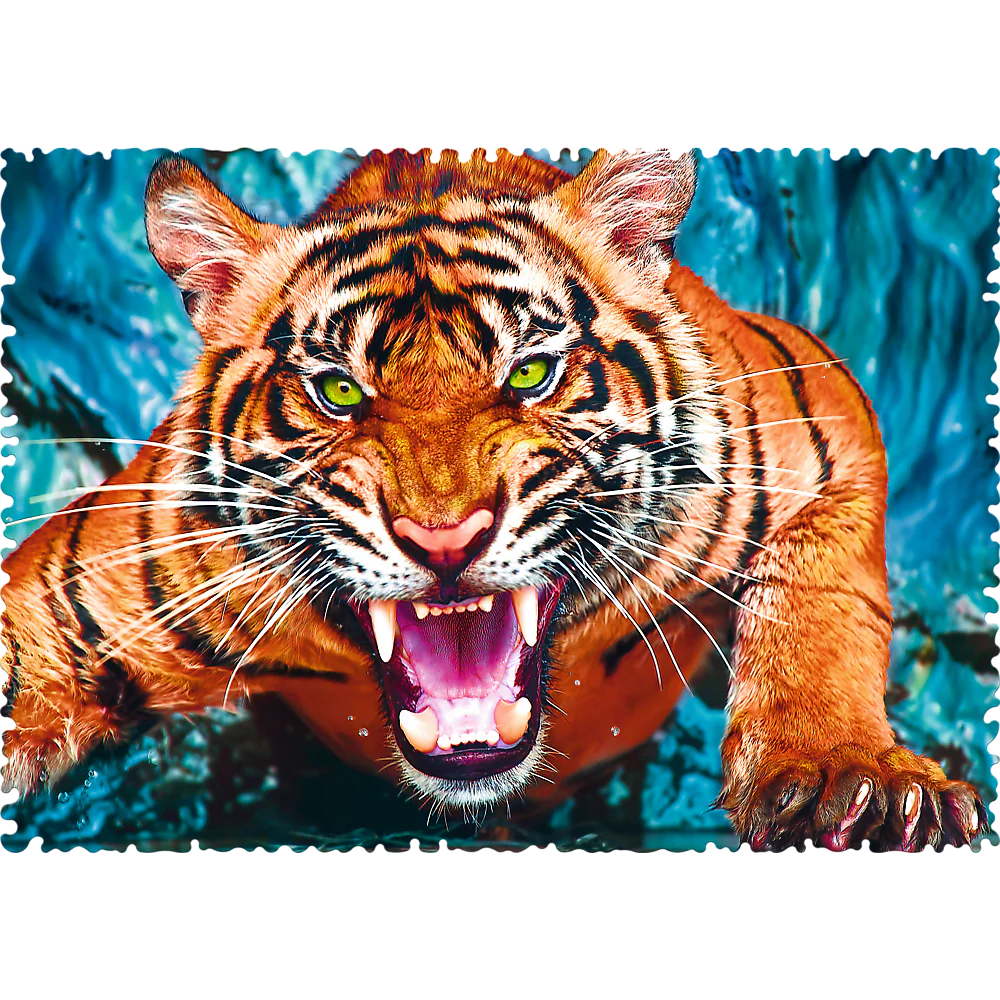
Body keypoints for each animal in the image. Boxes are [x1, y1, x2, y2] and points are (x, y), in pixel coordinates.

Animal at [0, 147, 988, 851]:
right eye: (340, 392)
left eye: (530, 374)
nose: (445, 540)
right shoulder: (82, 590)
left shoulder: (821, 420)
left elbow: (818, 601)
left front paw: (845, 776)